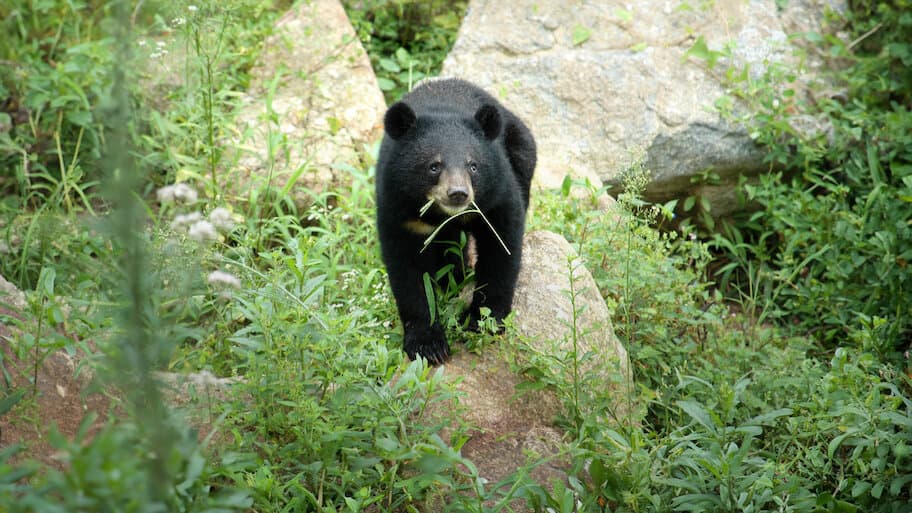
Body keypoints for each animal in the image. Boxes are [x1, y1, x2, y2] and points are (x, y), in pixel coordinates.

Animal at [375, 78, 536, 364]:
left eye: (473, 165)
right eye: (434, 166)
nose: (458, 193)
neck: (441, 214)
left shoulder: (497, 194)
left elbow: (500, 250)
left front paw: (482, 321)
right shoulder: (397, 207)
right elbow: (407, 270)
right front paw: (428, 345)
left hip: (521, 149)